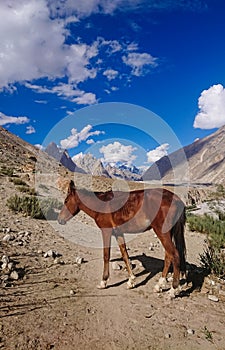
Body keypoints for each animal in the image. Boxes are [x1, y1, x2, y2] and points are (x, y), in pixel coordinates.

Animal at [58, 180, 186, 298]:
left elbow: (106, 255)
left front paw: (103, 282)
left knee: (174, 255)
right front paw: (131, 281)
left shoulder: (106, 232)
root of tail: (177, 199)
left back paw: (173, 290)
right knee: (168, 256)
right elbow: (125, 255)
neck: (101, 205)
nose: (60, 220)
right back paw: (159, 285)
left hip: (162, 233)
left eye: (66, 201)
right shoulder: (118, 233)